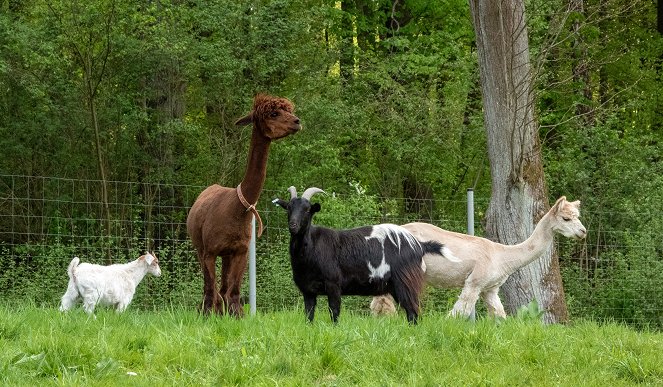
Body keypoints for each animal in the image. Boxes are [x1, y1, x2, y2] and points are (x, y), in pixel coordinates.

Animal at [274, 186, 456, 326]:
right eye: (288, 208)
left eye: (307, 209)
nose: (293, 225)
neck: (311, 247)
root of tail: (419, 245)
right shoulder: (308, 290)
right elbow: (309, 315)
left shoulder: (333, 284)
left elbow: (334, 311)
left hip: (406, 282)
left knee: (413, 312)